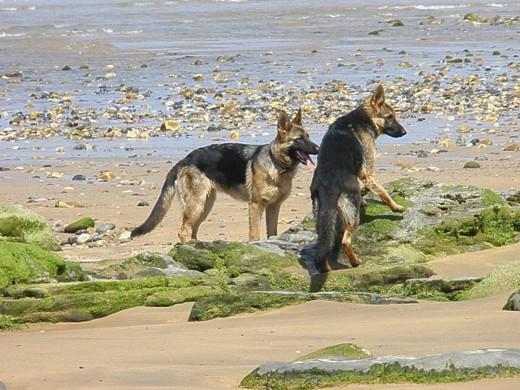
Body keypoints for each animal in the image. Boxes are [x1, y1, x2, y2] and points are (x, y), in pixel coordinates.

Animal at [308, 84, 406, 274]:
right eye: (390, 117)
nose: (405, 132)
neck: (360, 119)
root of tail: (328, 184)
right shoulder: (367, 168)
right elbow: (381, 190)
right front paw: (395, 206)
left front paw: (366, 195)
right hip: (351, 213)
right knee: (346, 240)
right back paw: (355, 262)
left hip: (322, 215)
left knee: (324, 242)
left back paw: (325, 267)